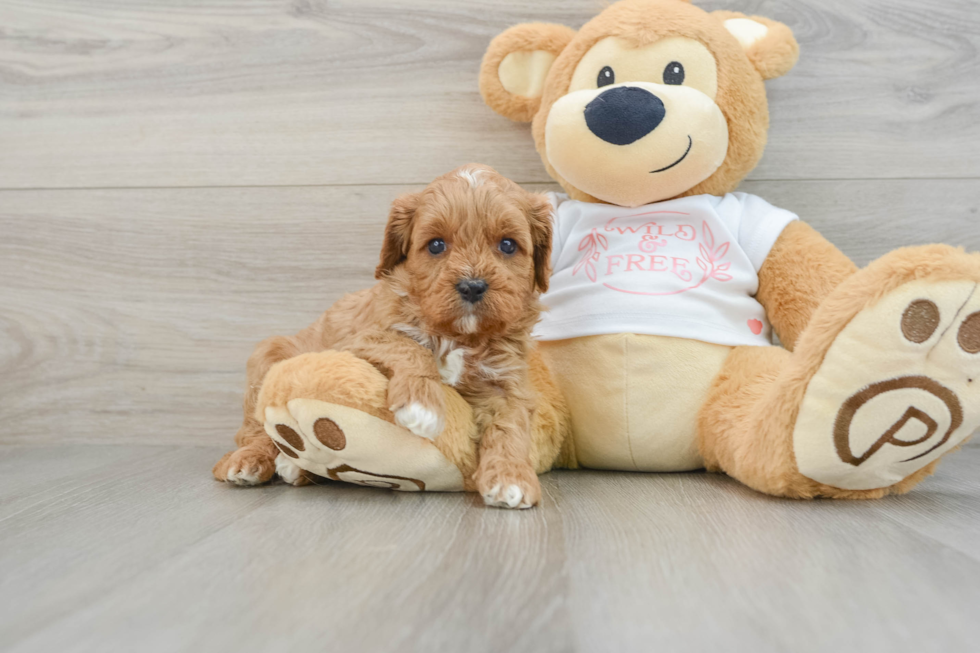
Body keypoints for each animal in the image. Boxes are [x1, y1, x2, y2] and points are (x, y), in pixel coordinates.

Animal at [213, 164, 556, 510]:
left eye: (508, 245)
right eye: (436, 245)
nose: (472, 286)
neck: (457, 335)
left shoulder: (505, 380)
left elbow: (511, 426)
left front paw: (510, 477)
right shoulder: (356, 341)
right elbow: (408, 345)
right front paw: (422, 406)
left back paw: (297, 468)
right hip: (266, 360)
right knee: (255, 430)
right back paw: (249, 461)